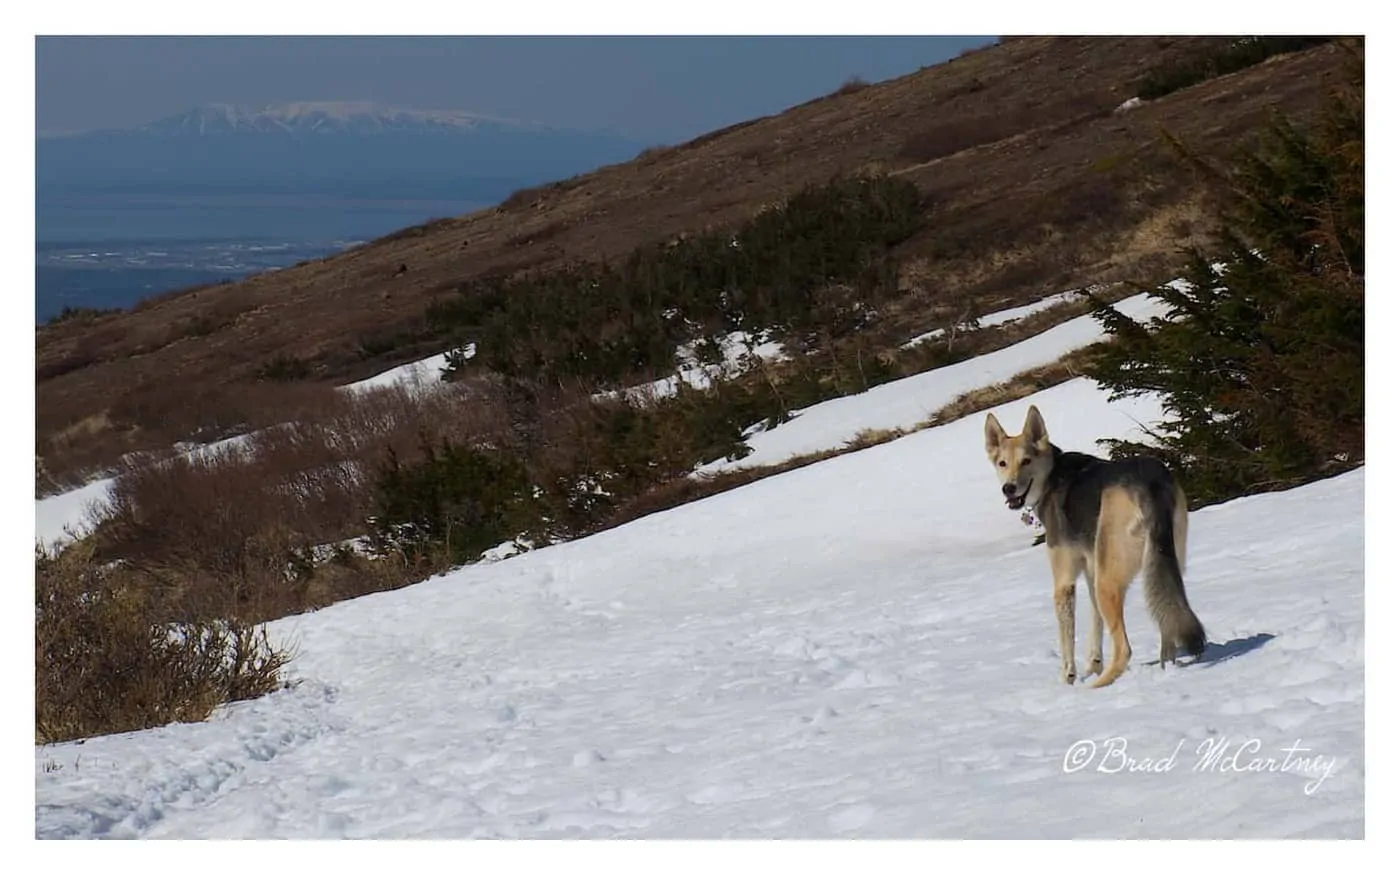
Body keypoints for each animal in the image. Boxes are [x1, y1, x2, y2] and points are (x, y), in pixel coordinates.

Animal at [985, 406, 1204, 686]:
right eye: (1002, 463)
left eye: (1026, 461)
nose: (1009, 488)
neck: (1052, 476)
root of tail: (1147, 484)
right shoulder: (1091, 572)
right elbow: (1095, 625)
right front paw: (1093, 664)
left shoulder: (1064, 583)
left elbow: (1067, 640)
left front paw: (1069, 679)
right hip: (1157, 564)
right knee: (1167, 622)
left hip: (1107, 582)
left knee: (1124, 650)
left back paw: (1097, 686)